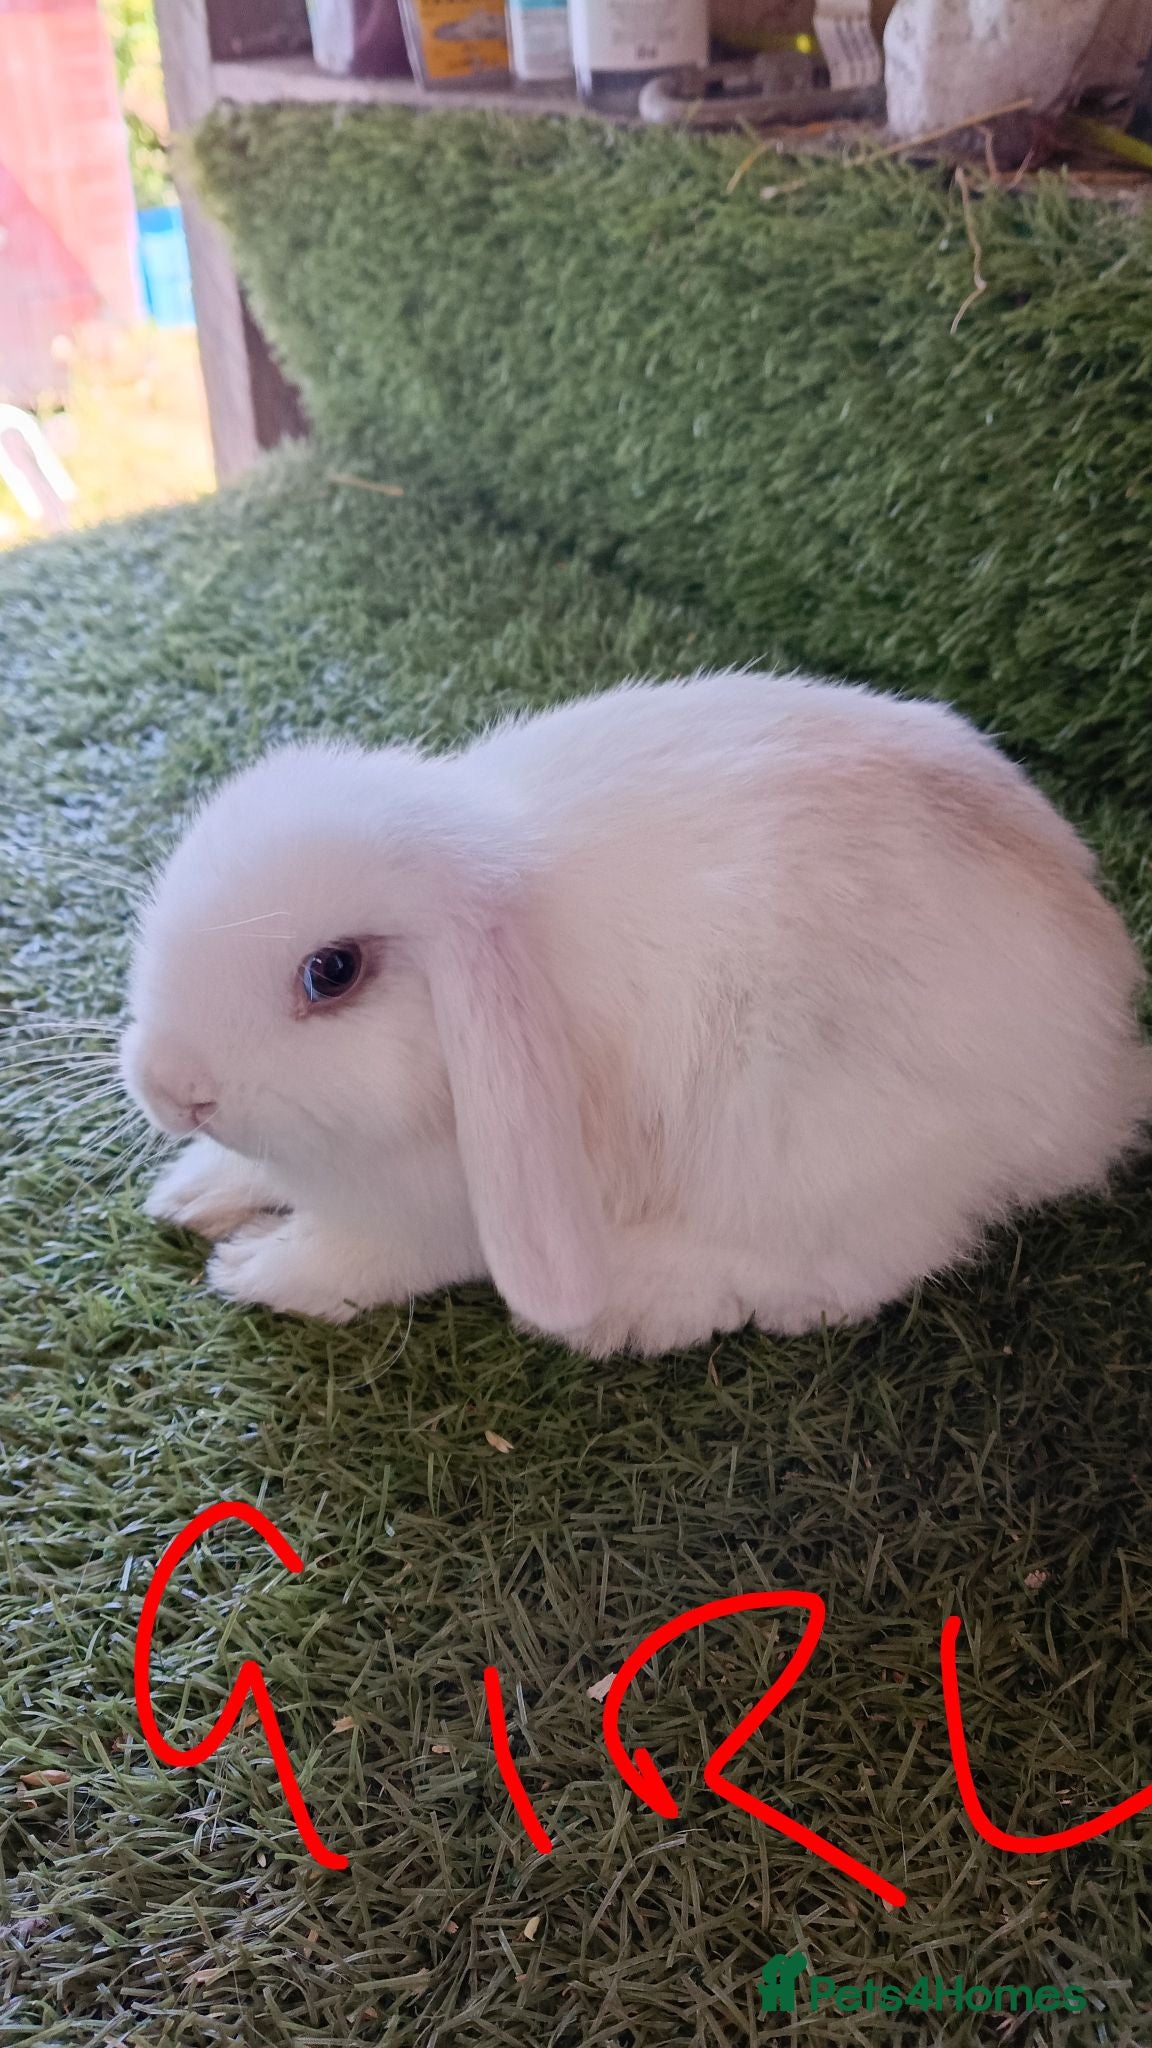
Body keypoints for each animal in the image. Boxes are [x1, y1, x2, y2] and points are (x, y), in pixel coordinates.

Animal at [119, 669, 1151, 1356]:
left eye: (332, 972)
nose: (171, 1089)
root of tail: (1104, 1074)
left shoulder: (428, 1216)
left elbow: (354, 1260)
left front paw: (253, 1271)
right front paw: (191, 1193)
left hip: (817, 1149)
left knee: (848, 1270)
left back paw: (637, 1306)